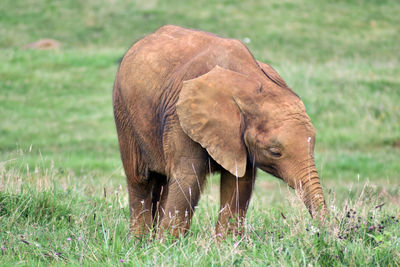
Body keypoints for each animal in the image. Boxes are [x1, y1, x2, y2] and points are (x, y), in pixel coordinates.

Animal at [111, 25, 326, 239]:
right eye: (275, 152)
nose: (318, 233)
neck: (247, 83)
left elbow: (239, 183)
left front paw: (226, 244)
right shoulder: (181, 119)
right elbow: (189, 179)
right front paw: (167, 245)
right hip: (123, 112)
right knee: (140, 179)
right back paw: (140, 241)